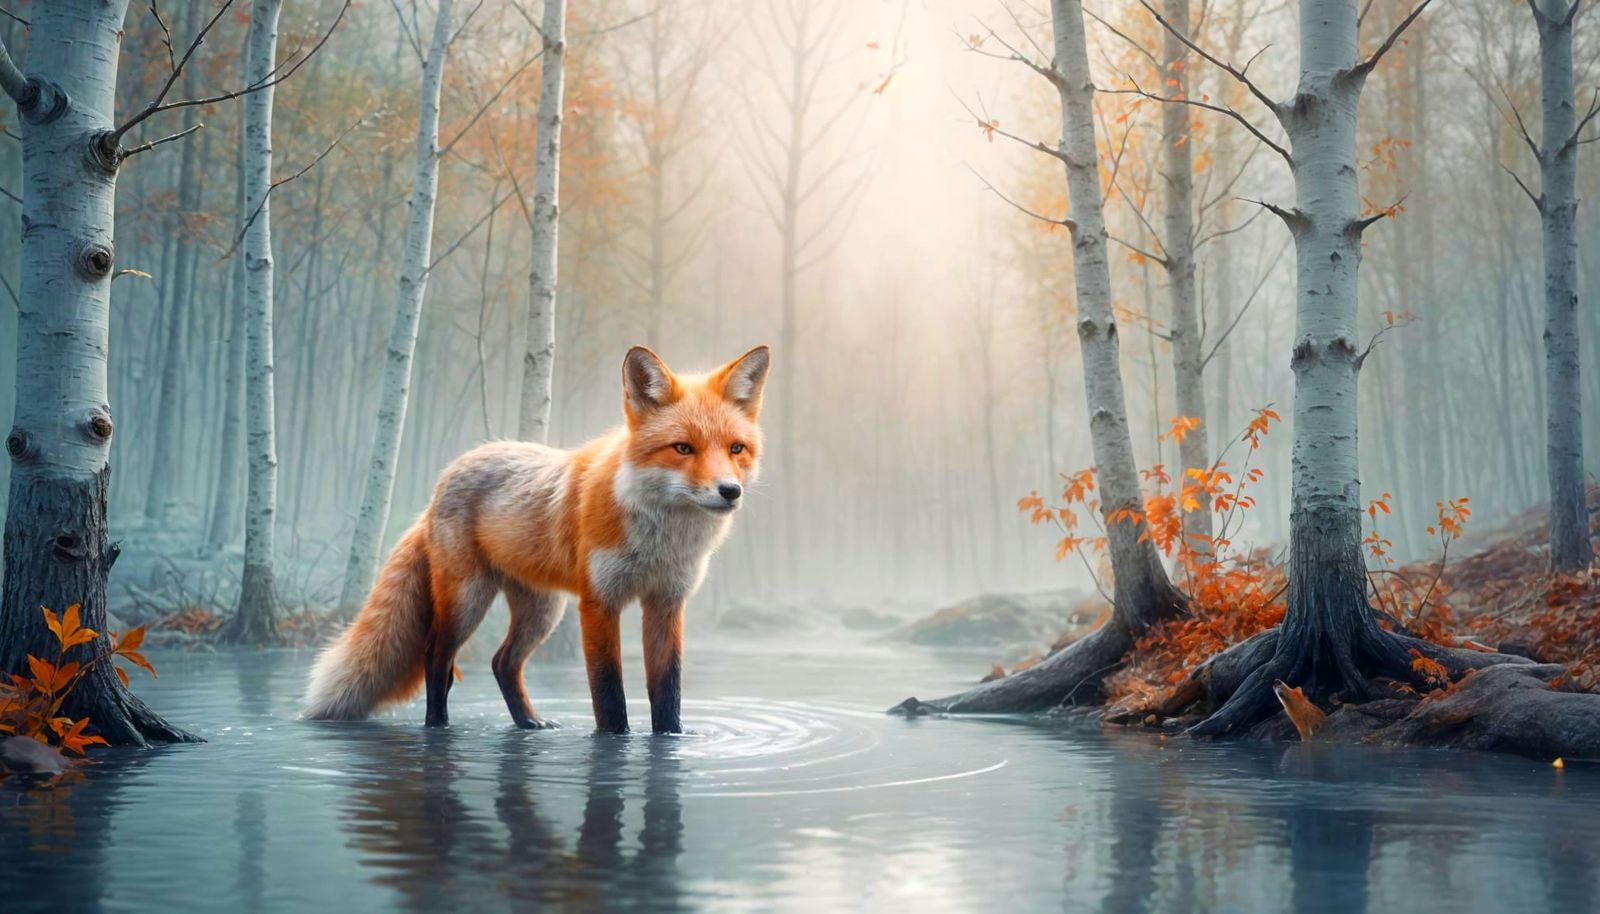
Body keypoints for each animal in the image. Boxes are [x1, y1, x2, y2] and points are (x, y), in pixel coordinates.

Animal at [302, 344, 770, 734]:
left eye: (736, 449)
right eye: (683, 448)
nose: (730, 491)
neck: (661, 542)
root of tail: (446, 477)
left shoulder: (667, 602)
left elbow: (668, 692)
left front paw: (672, 740)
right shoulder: (599, 602)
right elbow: (609, 694)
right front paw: (613, 743)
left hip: (542, 611)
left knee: (502, 662)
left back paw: (528, 722)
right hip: (469, 599)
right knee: (437, 657)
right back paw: (438, 727)